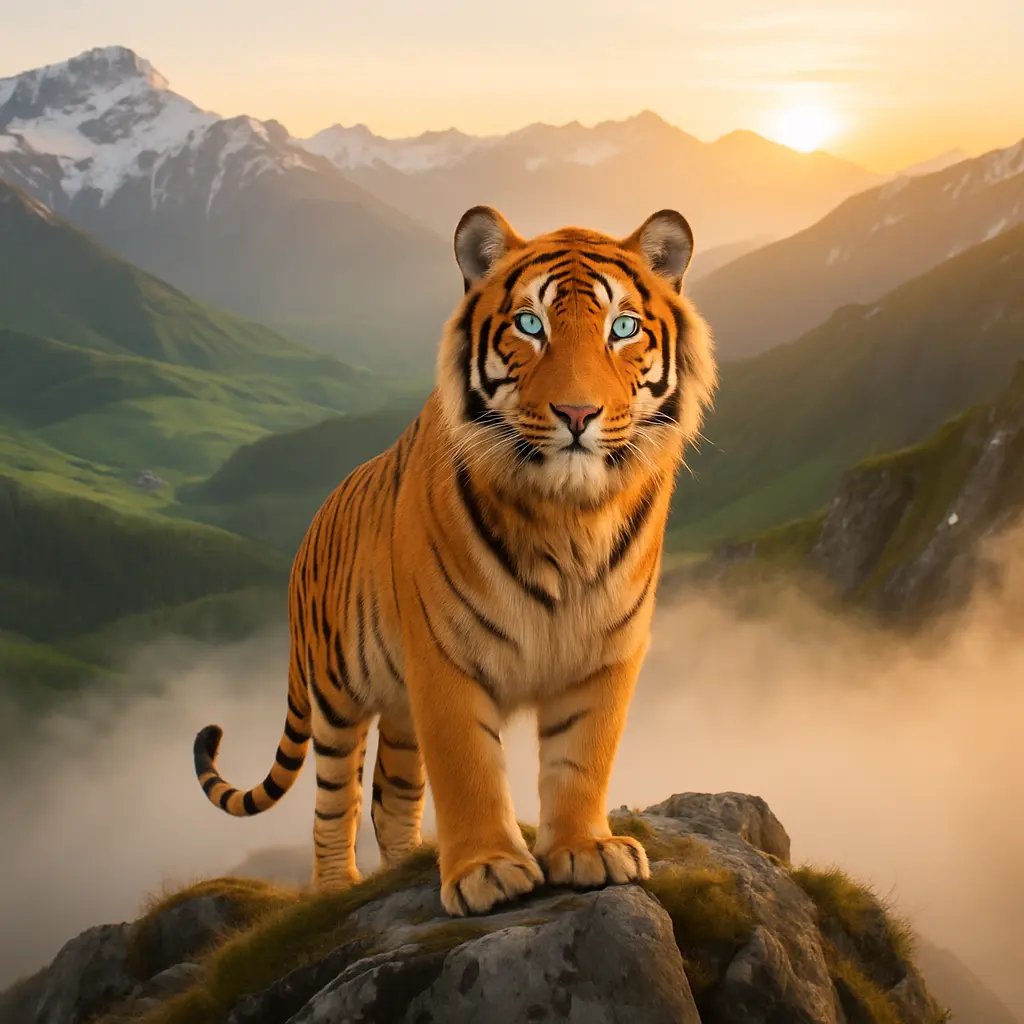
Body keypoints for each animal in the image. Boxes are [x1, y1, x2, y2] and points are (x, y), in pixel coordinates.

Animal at [193, 204, 717, 916]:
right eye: (530, 324)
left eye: (624, 328)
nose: (578, 412)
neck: (568, 516)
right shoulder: (444, 655)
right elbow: (469, 767)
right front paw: (486, 870)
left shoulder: (608, 650)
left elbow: (582, 758)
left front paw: (586, 849)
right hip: (334, 698)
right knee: (337, 802)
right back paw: (338, 889)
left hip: (399, 709)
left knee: (391, 794)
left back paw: (406, 864)